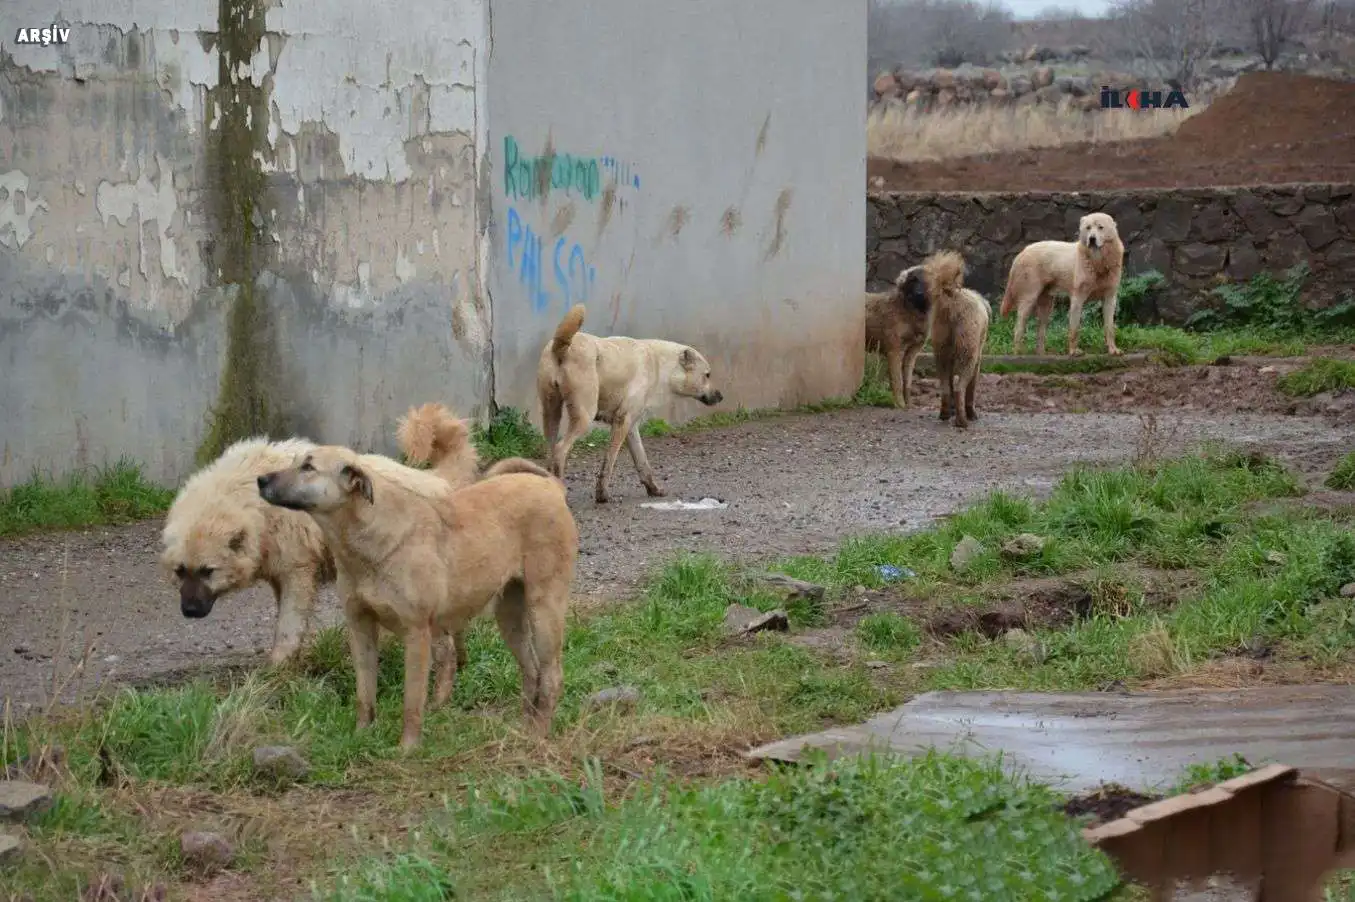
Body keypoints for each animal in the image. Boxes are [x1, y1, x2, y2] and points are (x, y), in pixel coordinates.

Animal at [254, 441, 577, 742]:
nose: (260, 480)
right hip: (510, 614)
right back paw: (524, 729)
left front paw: (407, 748)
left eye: (308, 467)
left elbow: (412, 701)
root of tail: (550, 485)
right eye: (295, 461)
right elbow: (364, 694)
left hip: (544, 611)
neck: (365, 540)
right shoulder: (360, 628)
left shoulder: (416, 632)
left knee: (553, 675)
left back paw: (540, 734)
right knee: (531, 669)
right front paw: (361, 737)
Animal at [542, 303, 731, 501]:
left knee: (550, 449)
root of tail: (562, 347)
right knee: (560, 450)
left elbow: (642, 461)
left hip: (550, 412)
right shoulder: (622, 421)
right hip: (584, 416)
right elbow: (610, 460)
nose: (720, 396)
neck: (658, 363)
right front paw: (602, 494)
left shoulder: (631, 425)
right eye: (707, 375)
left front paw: (653, 488)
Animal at [899, 247, 997, 427]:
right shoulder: (977, 359)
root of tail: (952, 302)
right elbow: (971, 389)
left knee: (945, 386)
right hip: (967, 352)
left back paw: (945, 413)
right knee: (959, 388)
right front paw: (972, 413)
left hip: (941, 350)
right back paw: (962, 420)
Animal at [1002, 211, 1127, 354]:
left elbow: (1109, 328)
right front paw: (1073, 352)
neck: (1098, 263)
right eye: (1088, 228)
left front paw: (1113, 350)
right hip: (1029, 300)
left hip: (1047, 306)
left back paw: (1042, 354)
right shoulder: (1077, 298)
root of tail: (1022, 251)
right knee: (1018, 328)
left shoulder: (1110, 298)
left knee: (1040, 331)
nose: (1092, 239)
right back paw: (1018, 354)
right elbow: (1074, 329)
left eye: (1100, 227)